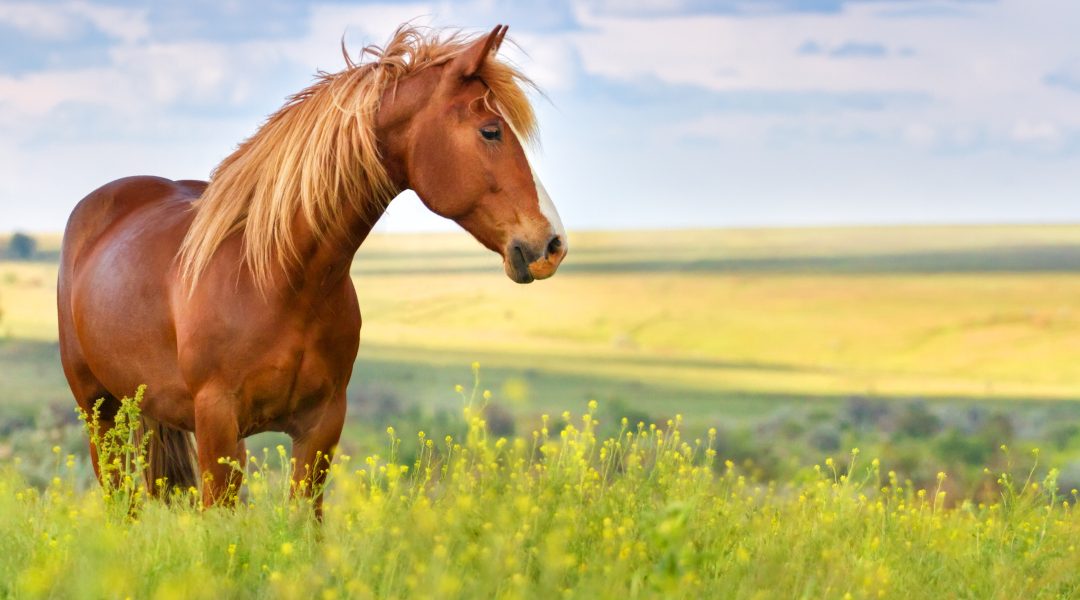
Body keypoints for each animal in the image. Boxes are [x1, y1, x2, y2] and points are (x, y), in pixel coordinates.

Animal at [55, 24, 570, 511]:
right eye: (491, 130)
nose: (552, 245)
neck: (278, 280)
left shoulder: (321, 426)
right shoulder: (218, 425)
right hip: (99, 413)